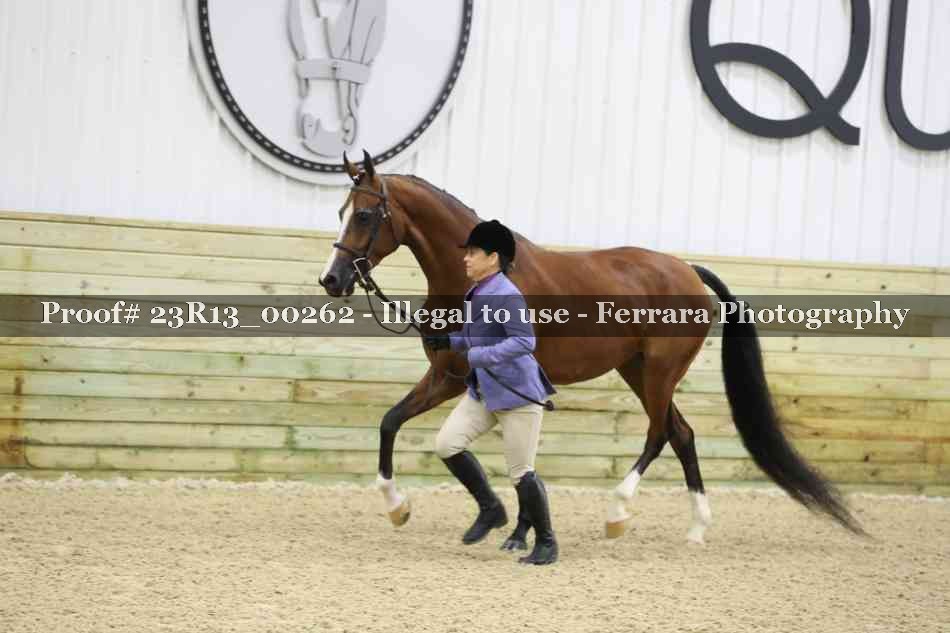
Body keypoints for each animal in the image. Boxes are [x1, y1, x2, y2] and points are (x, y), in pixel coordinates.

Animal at [318, 151, 864, 543]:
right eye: (341, 211)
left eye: (364, 215)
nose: (332, 279)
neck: (474, 277)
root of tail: (688, 270)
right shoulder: (448, 376)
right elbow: (391, 421)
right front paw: (399, 507)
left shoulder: (468, 380)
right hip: (637, 370)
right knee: (682, 433)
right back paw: (696, 528)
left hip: (660, 371)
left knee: (659, 434)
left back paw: (619, 512)